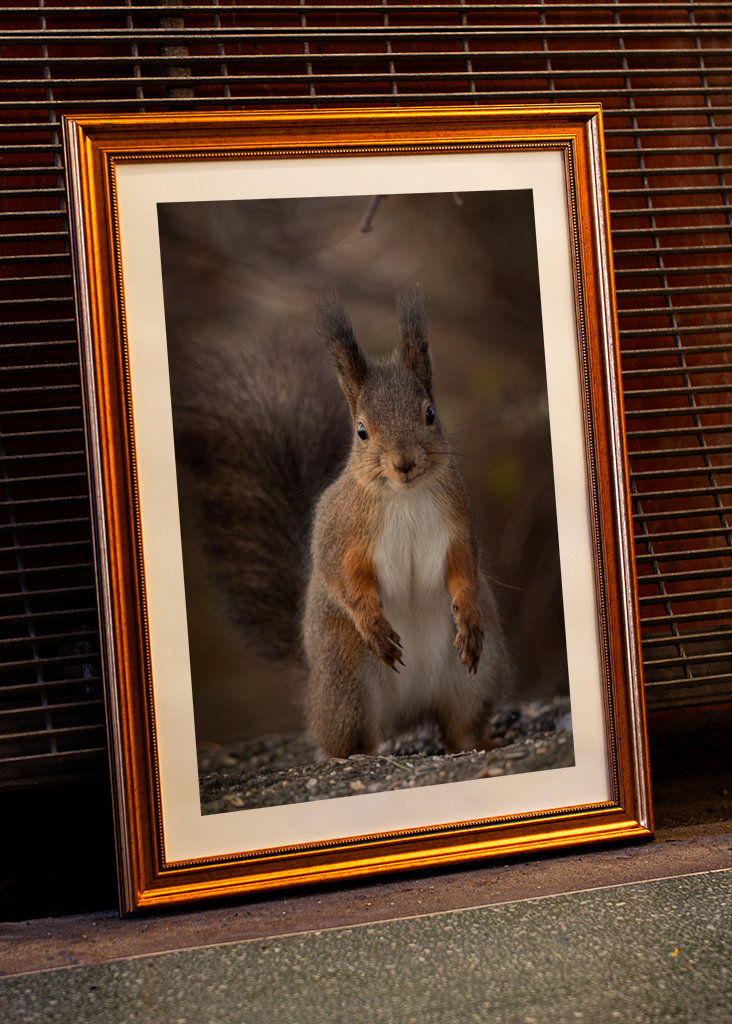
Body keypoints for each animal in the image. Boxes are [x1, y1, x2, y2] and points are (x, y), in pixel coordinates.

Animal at [172, 288, 509, 759]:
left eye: (429, 414)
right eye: (362, 431)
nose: (404, 462)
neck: (404, 496)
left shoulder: (458, 523)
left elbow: (464, 569)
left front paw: (470, 616)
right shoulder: (340, 532)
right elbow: (343, 577)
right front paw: (374, 623)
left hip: (474, 678)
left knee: (457, 727)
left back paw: (481, 741)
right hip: (346, 677)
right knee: (346, 739)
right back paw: (361, 751)